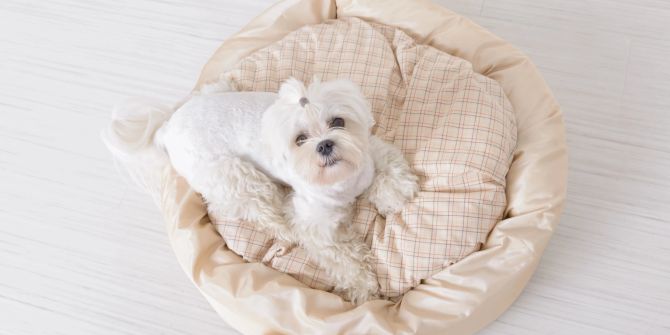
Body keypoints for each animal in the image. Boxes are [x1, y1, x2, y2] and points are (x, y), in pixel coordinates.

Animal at [119, 77, 420, 304]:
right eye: (300, 139)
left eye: (338, 122)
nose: (325, 145)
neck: (342, 180)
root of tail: (166, 129)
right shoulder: (314, 223)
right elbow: (340, 256)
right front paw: (362, 285)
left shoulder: (369, 154)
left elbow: (389, 167)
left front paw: (393, 194)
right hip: (236, 176)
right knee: (261, 211)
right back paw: (284, 230)